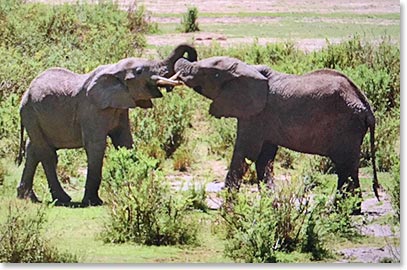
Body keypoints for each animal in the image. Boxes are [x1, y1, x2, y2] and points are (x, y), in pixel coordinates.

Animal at [16, 44, 198, 206]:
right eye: (140, 72)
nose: (190, 59)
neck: (113, 70)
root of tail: (25, 93)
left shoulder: (120, 107)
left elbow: (125, 142)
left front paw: (142, 187)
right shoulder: (91, 109)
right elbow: (96, 145)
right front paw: (93, 202)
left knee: (33, 149)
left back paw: (27, 198)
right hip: (30, 112)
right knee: (46, 153)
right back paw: (62, 198)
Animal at [175, 56, 382, 210]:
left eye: (206, 73)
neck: (247, 68)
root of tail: (367, 108)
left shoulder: (256, 115)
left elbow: (245, 153)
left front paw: (227, 207)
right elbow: (264, 158)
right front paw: (272, 204)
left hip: (346, 128)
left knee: (345, 166)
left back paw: (338, 209)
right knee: (348, 168)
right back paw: (350, 209)